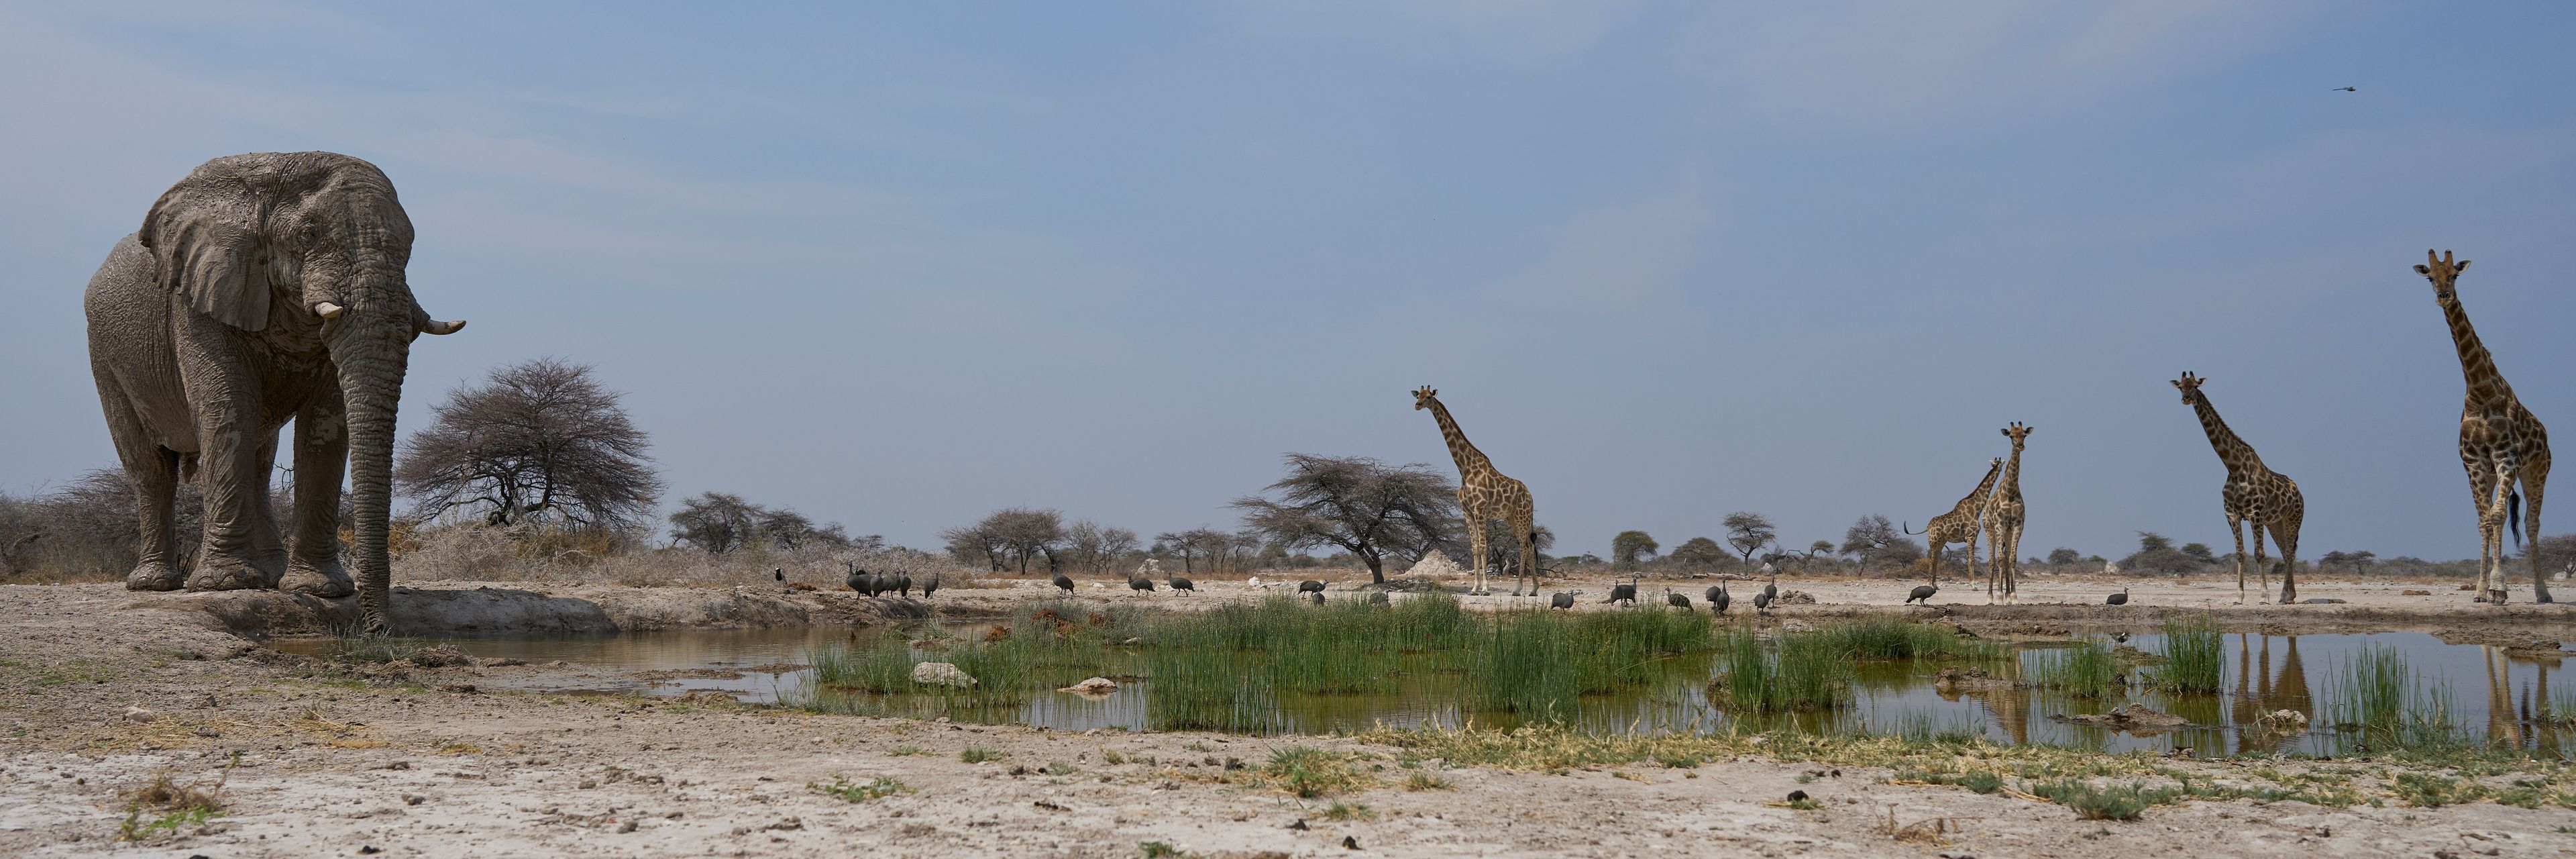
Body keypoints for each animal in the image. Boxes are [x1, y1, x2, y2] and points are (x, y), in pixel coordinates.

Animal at [85, 152, 464, 632]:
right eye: (308, 235)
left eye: (410, 246)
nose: (379, 630)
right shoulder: (198, 296)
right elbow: (226, 409)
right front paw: (223, 585)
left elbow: (327, 423)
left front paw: (319, 590)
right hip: (103, 355)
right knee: (149, 467)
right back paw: (155, 585)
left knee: (260, 460)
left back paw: (268, 577)